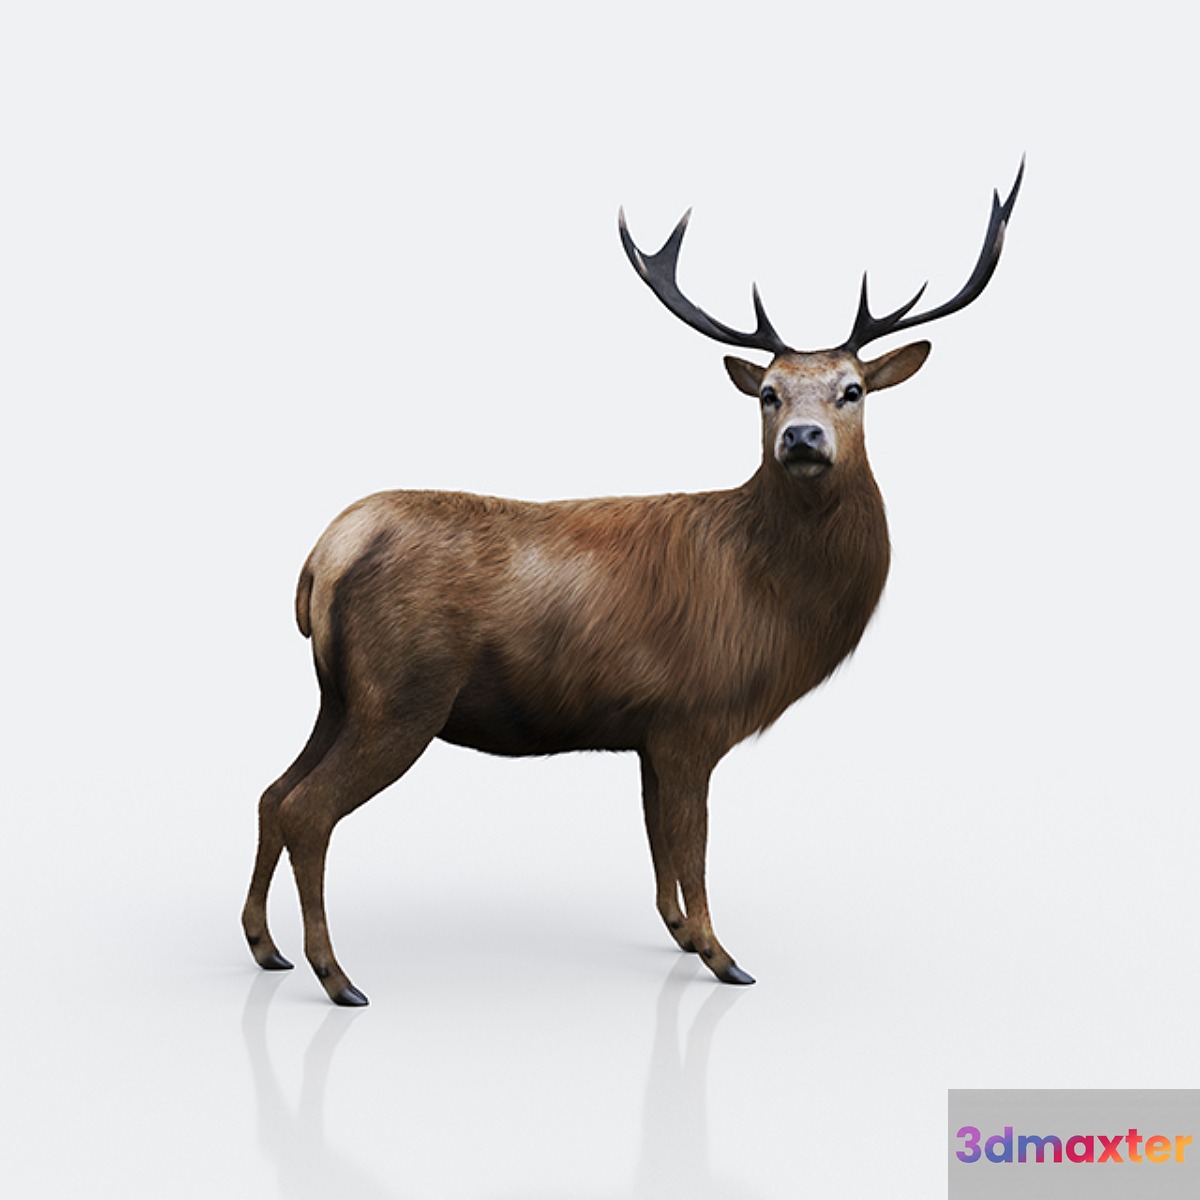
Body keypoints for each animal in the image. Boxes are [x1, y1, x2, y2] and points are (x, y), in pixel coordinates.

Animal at [242, 165, 1023, 1005]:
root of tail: (323, 558)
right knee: (309, 810)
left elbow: (659, 852)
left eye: (854, 390)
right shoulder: (694, 716)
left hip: (339, 693)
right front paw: (722, 955)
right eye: (768, 393)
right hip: (402, 692)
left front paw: (680, 935)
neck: (771, 601)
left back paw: (265, 948)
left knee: (272, 793)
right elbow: (693, 848)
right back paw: (336, 976)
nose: (803, 438)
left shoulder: (649, 731)